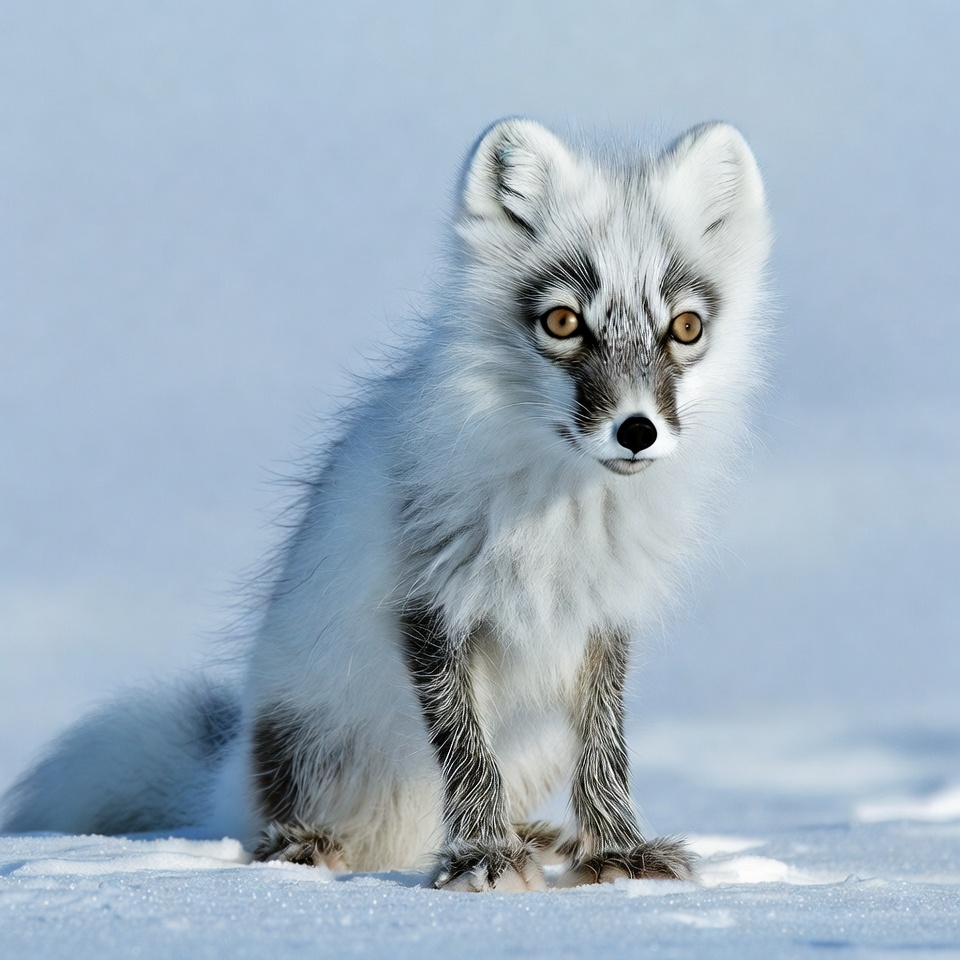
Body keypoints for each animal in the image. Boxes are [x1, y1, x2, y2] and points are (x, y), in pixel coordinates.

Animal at [2, 118, 771, 891]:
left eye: (684, 328)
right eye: (561, 322)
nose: (637, 431)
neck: (564, 510)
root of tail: (228, 774)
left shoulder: (601, 620)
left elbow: (605, 751)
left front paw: (618, 854)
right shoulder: (428, 604)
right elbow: (466, 750)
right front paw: (483, 856)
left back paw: (537, 838)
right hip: (302, 741)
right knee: (270, 828)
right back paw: (309, 846)